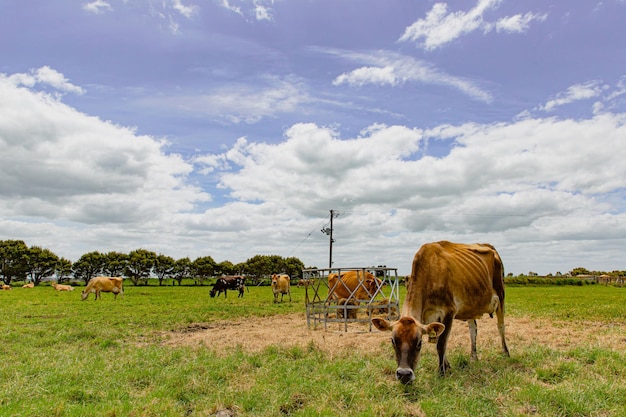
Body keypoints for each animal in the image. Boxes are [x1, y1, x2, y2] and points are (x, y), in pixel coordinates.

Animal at [370, 240, 508, 384]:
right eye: (393, 341)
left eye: (419, 343)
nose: (404, 374)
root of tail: (488, 245)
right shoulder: (427, 318)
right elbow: (438, 340)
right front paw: (447, 366)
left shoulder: (449, 312)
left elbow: (441, 344)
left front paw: (442, 372)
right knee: (473, 329)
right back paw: (473, 357)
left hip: (501, 295)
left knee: (501, 326)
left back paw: (505, 353)